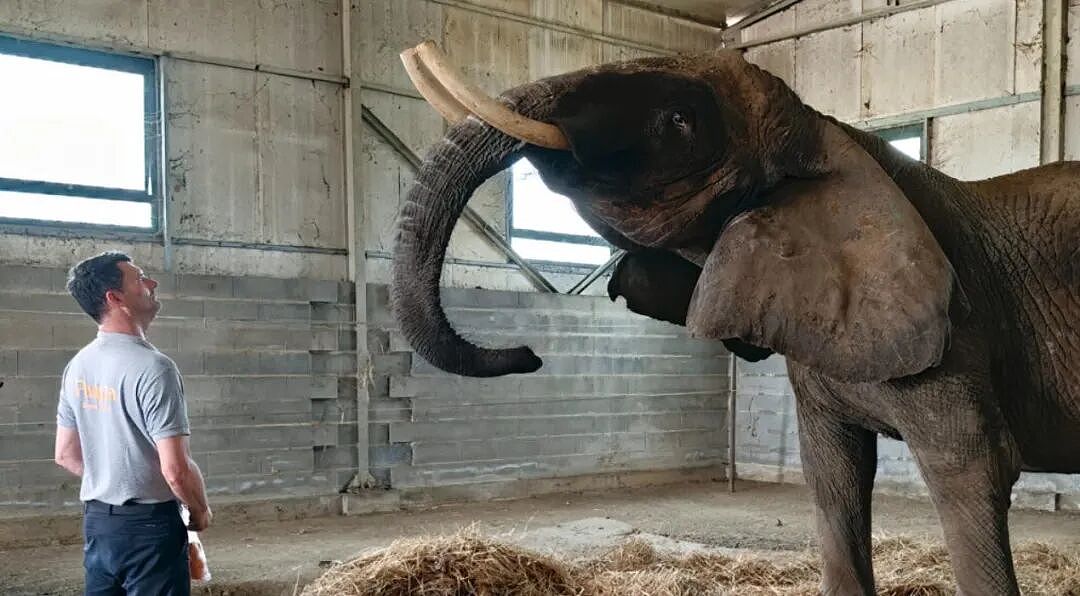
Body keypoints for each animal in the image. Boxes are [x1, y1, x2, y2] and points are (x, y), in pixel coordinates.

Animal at [389, 45, 1080, 595]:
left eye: (679, 121)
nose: (529, 354)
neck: (832, 135)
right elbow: (832, 475)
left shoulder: (958, 332)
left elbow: (971, 466)